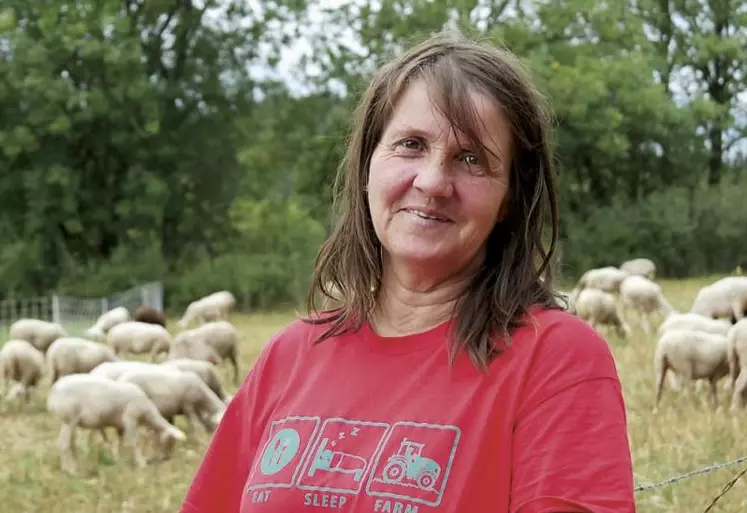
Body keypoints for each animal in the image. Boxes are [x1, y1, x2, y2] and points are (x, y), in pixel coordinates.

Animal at [45, 372, 187, 472]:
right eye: (169, 440)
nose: (166, 459)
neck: (147, 413)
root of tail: (53, 392)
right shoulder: (130, 418)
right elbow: (135, 442)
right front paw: (141, 463)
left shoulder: (120, 425)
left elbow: (120, 443)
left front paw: (119, 461)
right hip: (69, 419)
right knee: (63, 444)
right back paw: (71, 470)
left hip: (68, 422)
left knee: (68, 444)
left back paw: (70, 466)